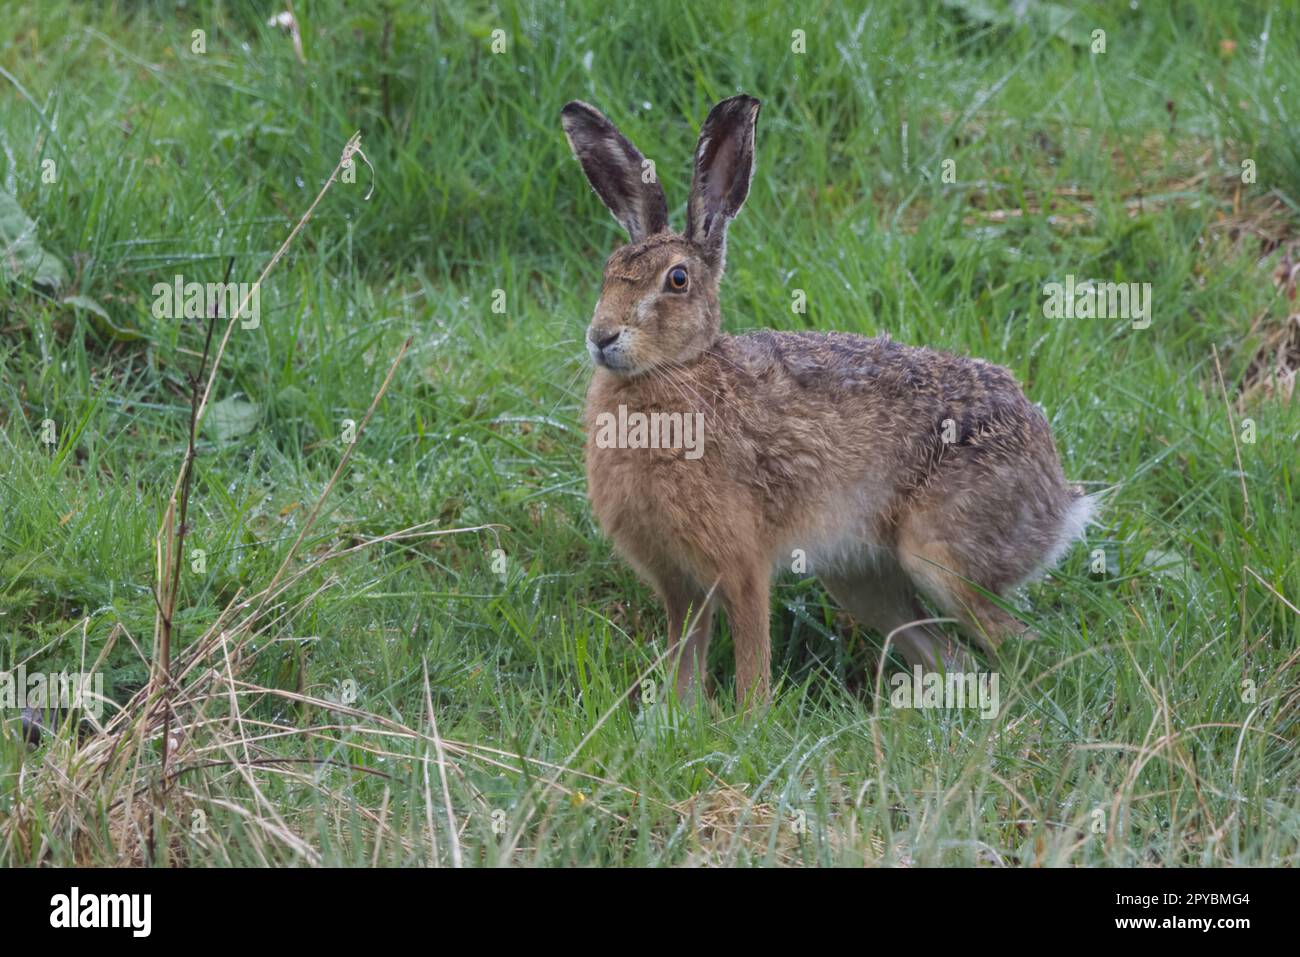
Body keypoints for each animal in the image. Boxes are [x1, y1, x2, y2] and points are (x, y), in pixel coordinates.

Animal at [561, 94, 1095, 705]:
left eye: (676, 280)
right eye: (609, 273)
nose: (601, 337)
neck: (678, 370)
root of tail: (1057, 491)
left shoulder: (742, 563)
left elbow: (752, 653)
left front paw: (749, 718)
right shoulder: (679, 583)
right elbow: (684, 657)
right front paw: (676, 715)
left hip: (940, 557)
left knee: (1020, 644)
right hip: (859, 581)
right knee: (951, 655)